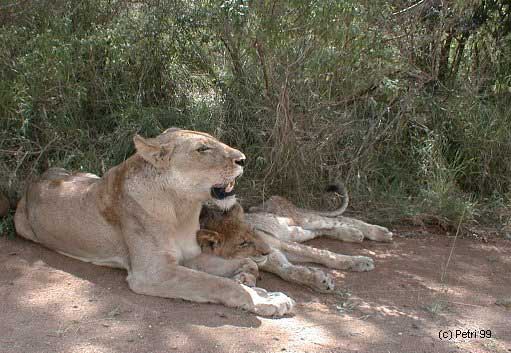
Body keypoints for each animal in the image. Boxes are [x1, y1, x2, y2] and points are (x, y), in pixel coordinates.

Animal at [14, 129, 296, 316]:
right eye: (202, 149)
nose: (243, 159)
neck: (181, 209)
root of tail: (35, 179)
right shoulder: (153, 273)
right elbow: (218, 283)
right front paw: (264, 301)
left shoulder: (191, 255)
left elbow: (239, 266)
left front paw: (256, 285)